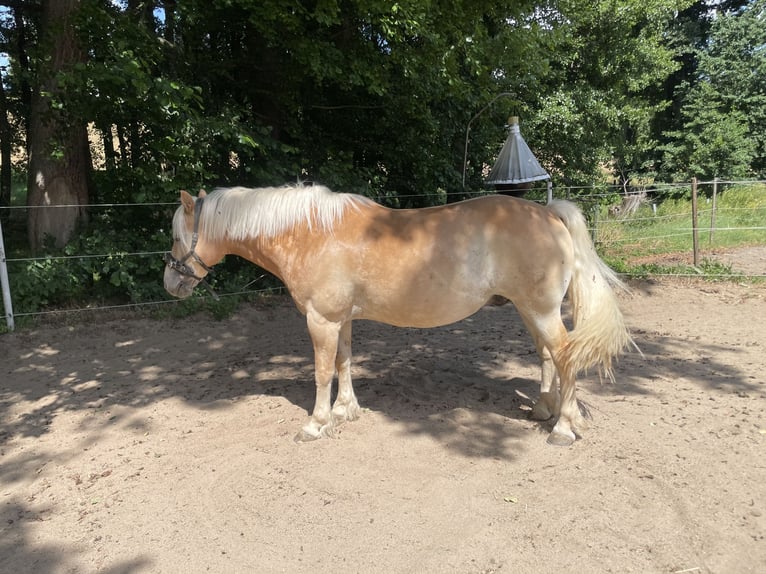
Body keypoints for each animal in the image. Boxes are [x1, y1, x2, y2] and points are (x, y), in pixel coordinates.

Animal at [163, 183, 634, 446]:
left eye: (175, 235)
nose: (170, 283)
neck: (311, 233)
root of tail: (548, 212)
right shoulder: (341, 320)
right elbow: (344, 362)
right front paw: (345, 411)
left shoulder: (321, 320)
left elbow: (321, 371)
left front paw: (317, 424)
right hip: (531, 311)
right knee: (548, 356)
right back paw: (544, 410)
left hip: (540, 309)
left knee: (565, 356)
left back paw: (563, 427)